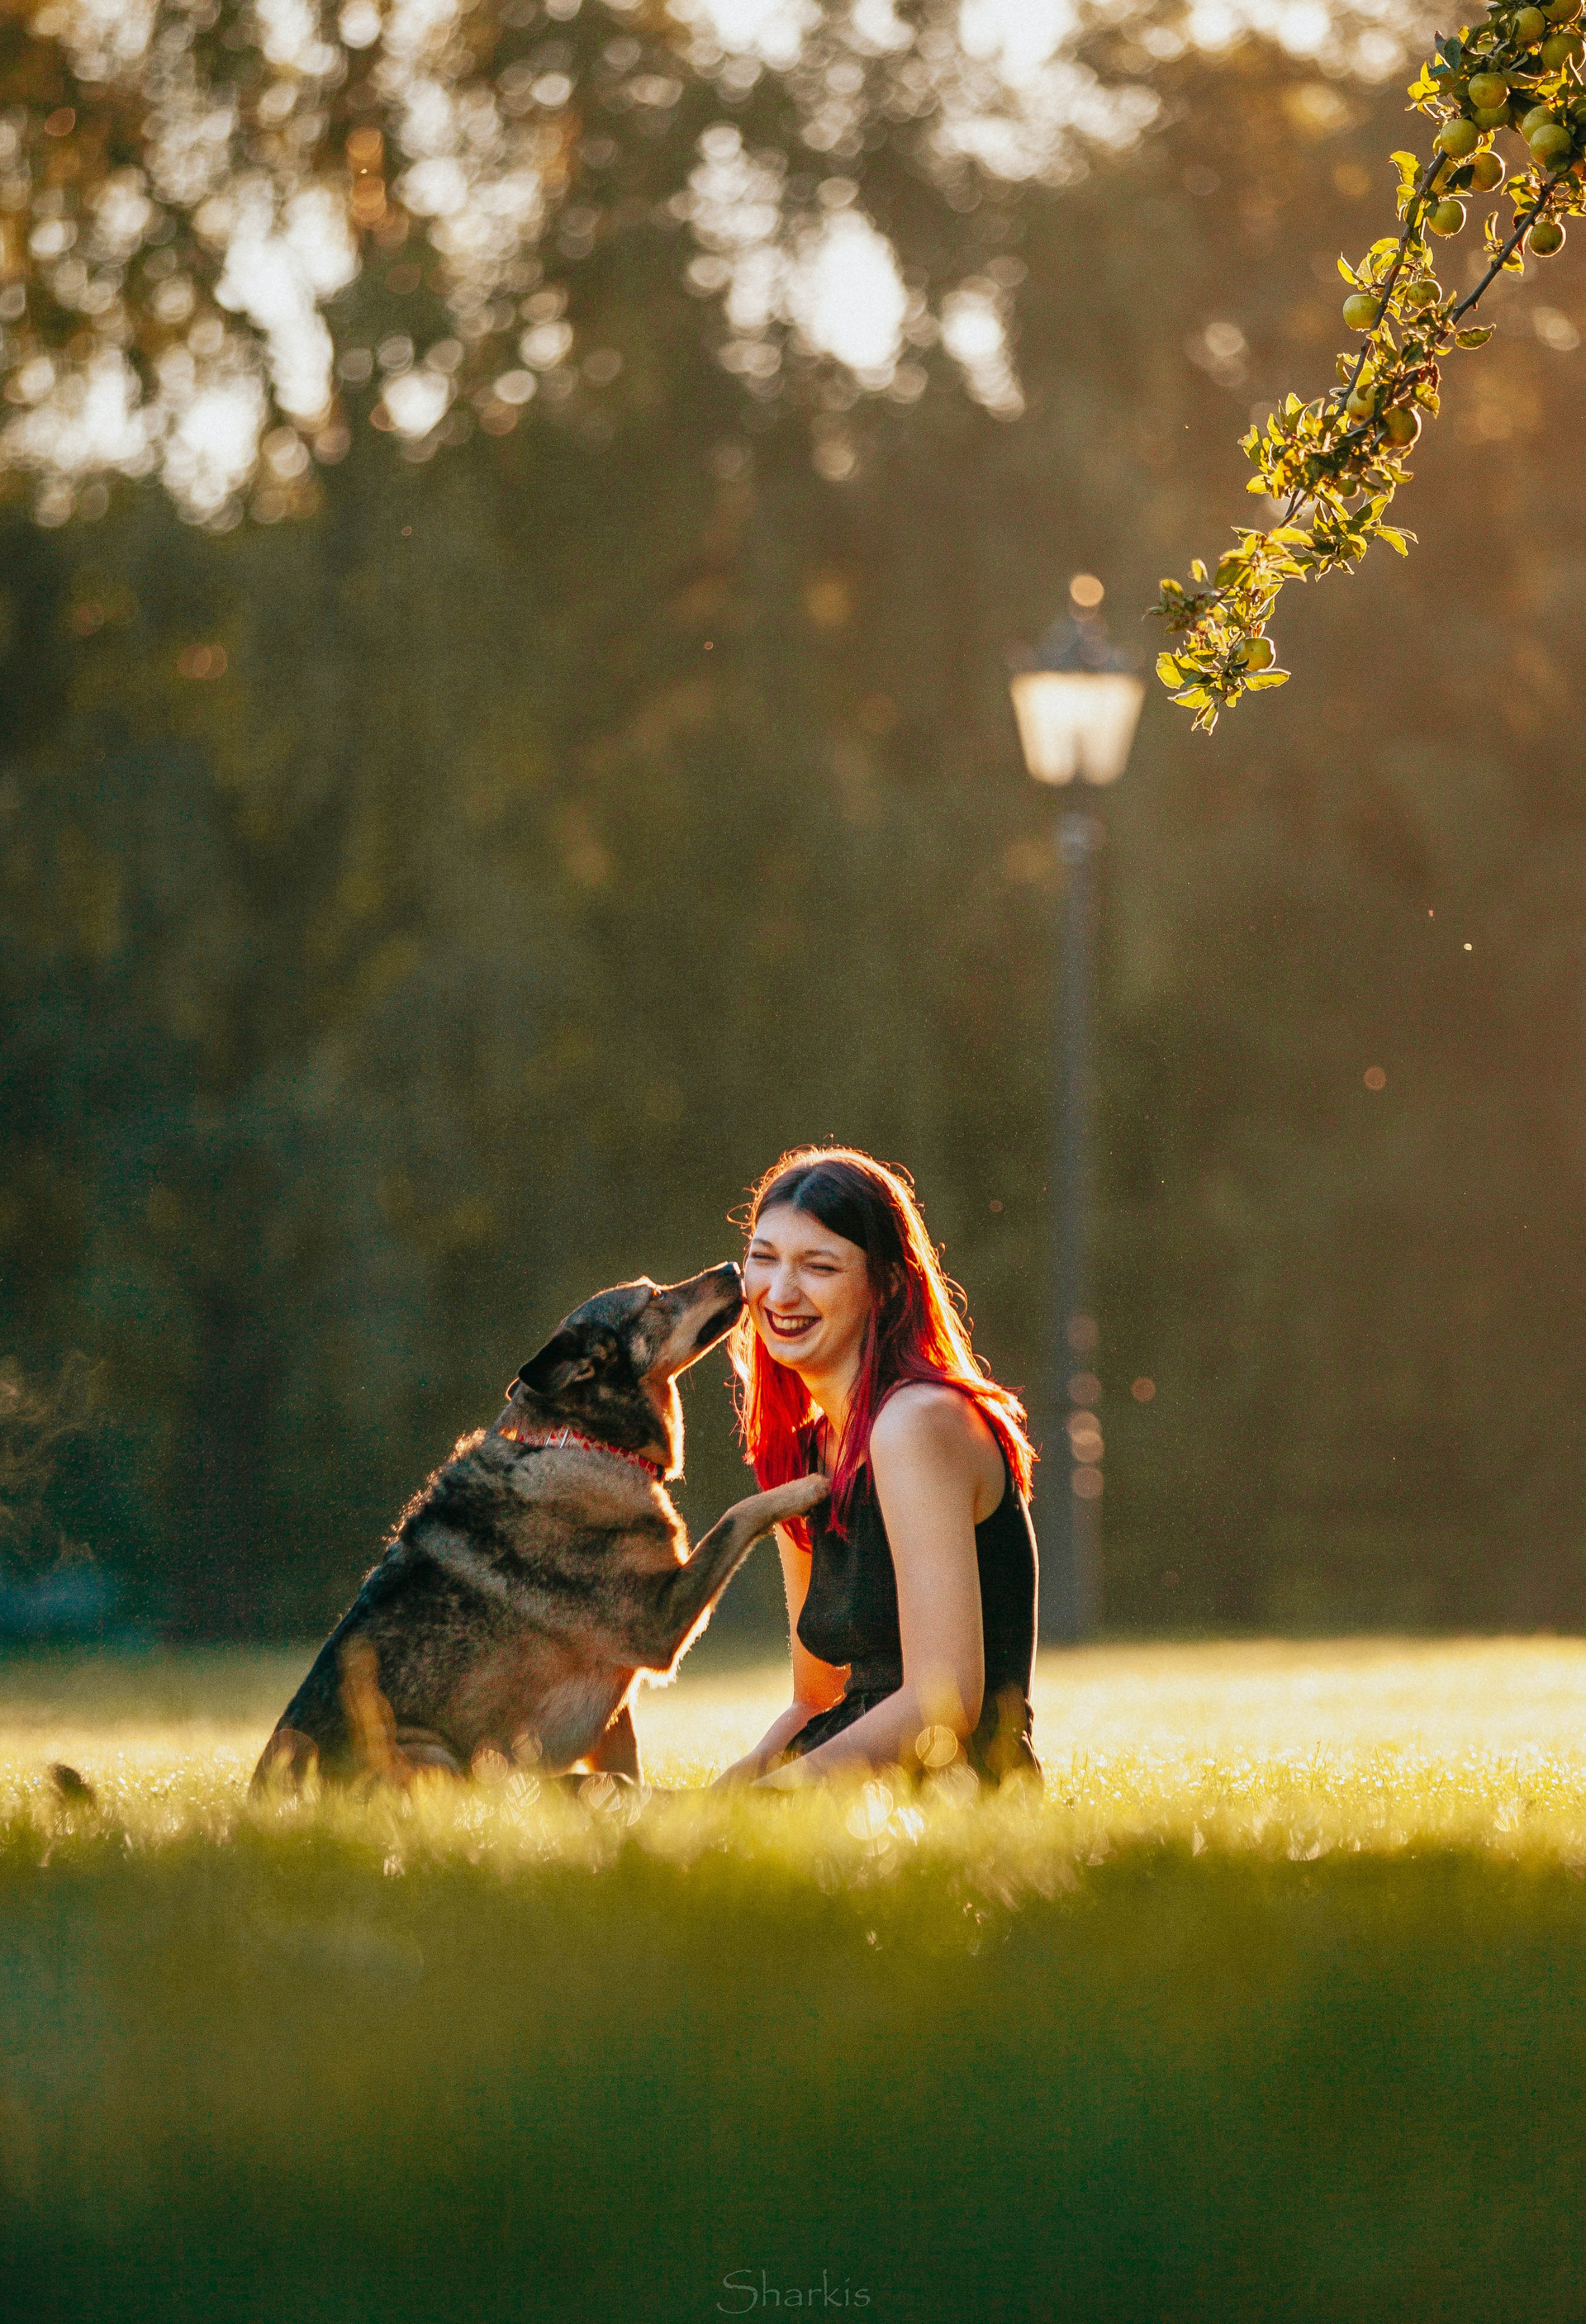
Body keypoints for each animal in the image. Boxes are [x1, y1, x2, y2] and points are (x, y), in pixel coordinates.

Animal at [251, 1262, 826, 1792]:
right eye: (655, 1298)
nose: (733, 1267)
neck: (586, 1444)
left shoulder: (619, 1702)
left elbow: (631, 1768)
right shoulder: (658, 1624)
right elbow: (741, 1512)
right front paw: (806, 1487)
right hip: (434, 1756)